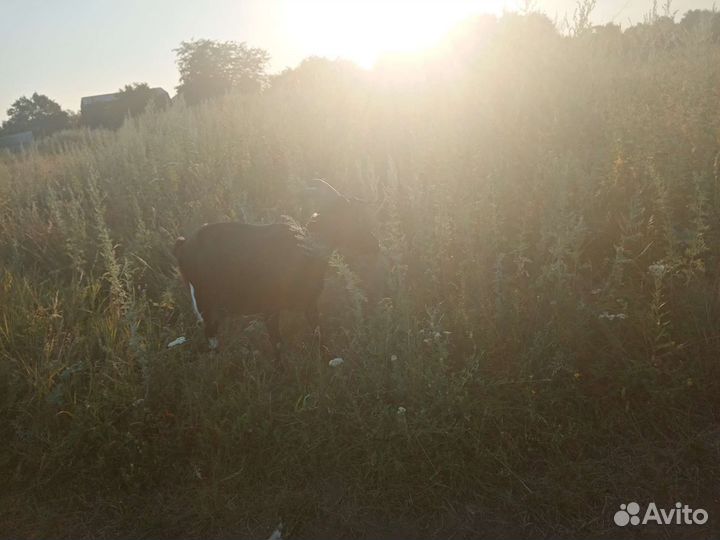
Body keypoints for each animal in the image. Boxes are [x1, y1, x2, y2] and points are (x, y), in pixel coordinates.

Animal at [173, 179, 379, 358]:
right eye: (351, 217)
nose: (375, 244)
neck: (306, 250)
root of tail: (183, 246)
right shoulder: (270, 309)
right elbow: (278, 345)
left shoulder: (310, 304)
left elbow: (319, 335)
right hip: (206, 305)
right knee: (211, 339)